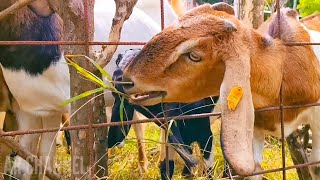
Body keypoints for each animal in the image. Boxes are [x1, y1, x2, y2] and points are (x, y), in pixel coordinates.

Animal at [122, 3, 320, 179]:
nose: (127, 79)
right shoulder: (255, 125)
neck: (285, 69)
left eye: (194, 55)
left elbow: (315, 166)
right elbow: (254, 169)